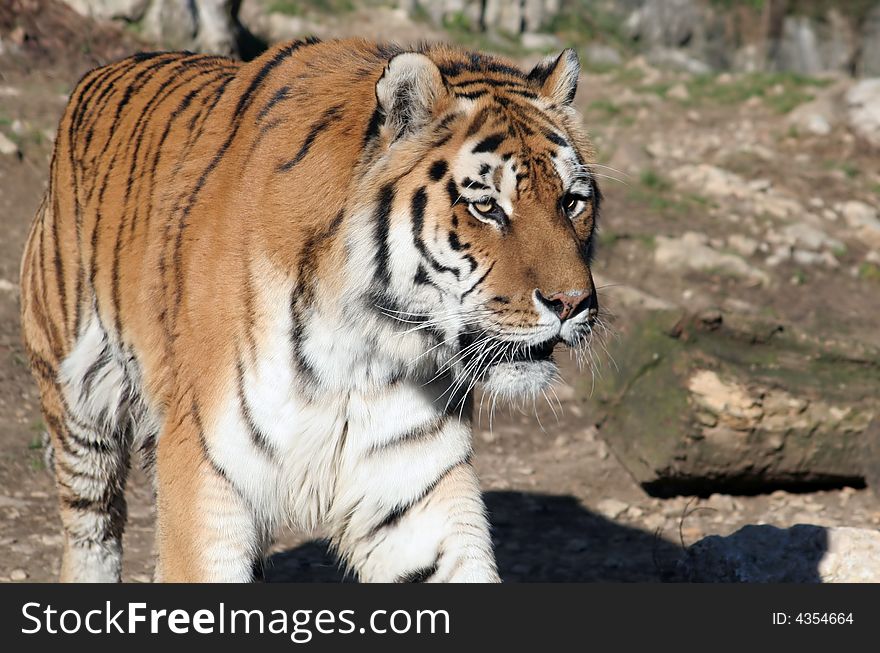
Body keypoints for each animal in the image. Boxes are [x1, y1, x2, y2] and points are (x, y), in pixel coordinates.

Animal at [20, 37, 600, 580]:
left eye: (571, 201)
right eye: (486, 207)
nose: (573, 304)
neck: (364, 339)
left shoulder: (412, 483)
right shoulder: (205, 470)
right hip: (79, 410)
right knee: (90, 529)